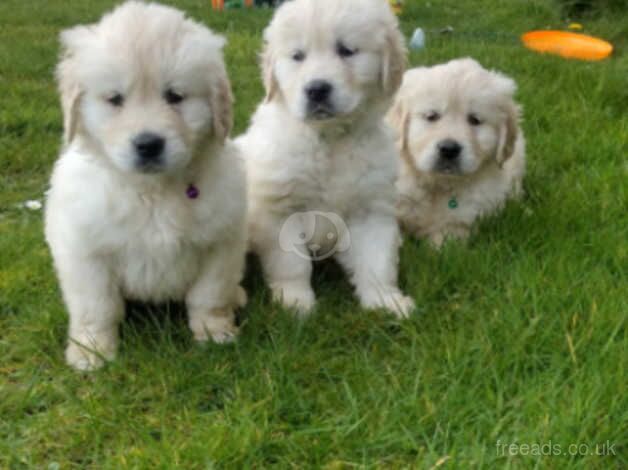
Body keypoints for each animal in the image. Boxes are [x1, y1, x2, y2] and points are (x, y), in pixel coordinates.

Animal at [45, 2, 247, 370]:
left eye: (175, 96)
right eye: (115, 99)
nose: (148, 144)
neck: (153, 191)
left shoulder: (220, 243)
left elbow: (208, 295)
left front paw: (214, 333)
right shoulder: (86, 251)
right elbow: (96, 307)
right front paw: (91, 351)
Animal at [233, 0, 414, 320]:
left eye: (346, 50)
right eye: (297, 56)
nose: (317, 89)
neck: (329, 139)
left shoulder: (370, 208)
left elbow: (376, 261)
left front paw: (385, 301)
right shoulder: (280, 210)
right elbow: (291, 264)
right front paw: (295, 303)